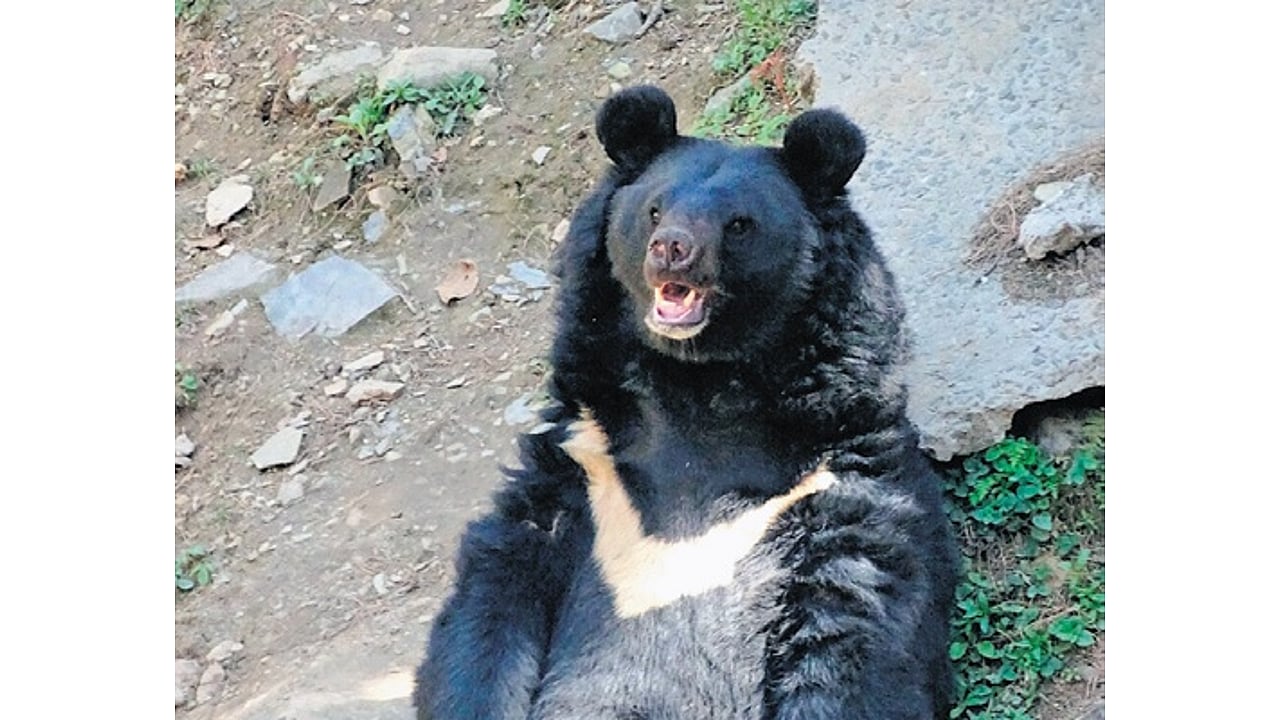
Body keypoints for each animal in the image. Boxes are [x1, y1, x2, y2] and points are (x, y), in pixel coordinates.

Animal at [413, 85, 959, 720]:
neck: (698, 384)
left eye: (740, 224)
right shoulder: (582, 464)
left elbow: (854, 637)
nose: (672, 248)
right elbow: (492, 602)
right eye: (654, 209)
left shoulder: (839, 484)